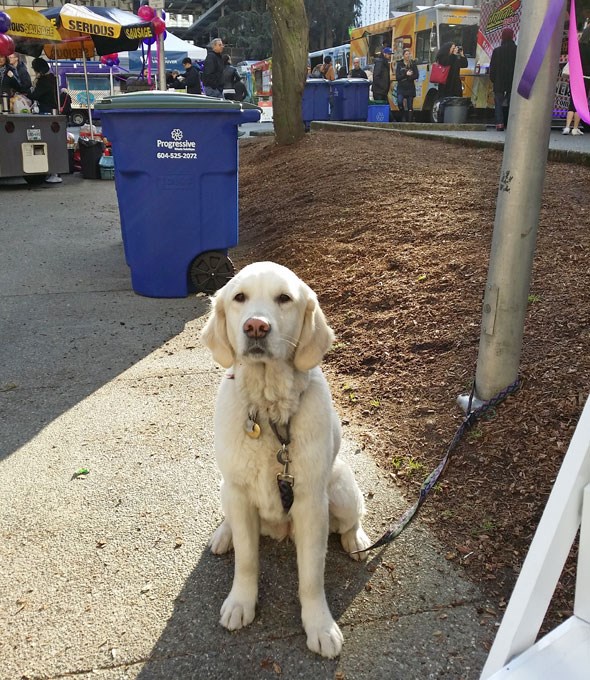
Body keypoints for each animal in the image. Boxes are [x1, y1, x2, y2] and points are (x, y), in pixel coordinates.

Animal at [201, 262, 372, 660]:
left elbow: (311, 576)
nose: (256, 327)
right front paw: (240, 602)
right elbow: (247, 561)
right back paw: (224, 534)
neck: (269, 411)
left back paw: (356, 539)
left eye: (284, 298)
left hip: (341, 487)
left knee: (351, 519)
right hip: (225, 487)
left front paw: (320, 625)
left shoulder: (310, 503)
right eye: (239, 297)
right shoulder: (239, 491)